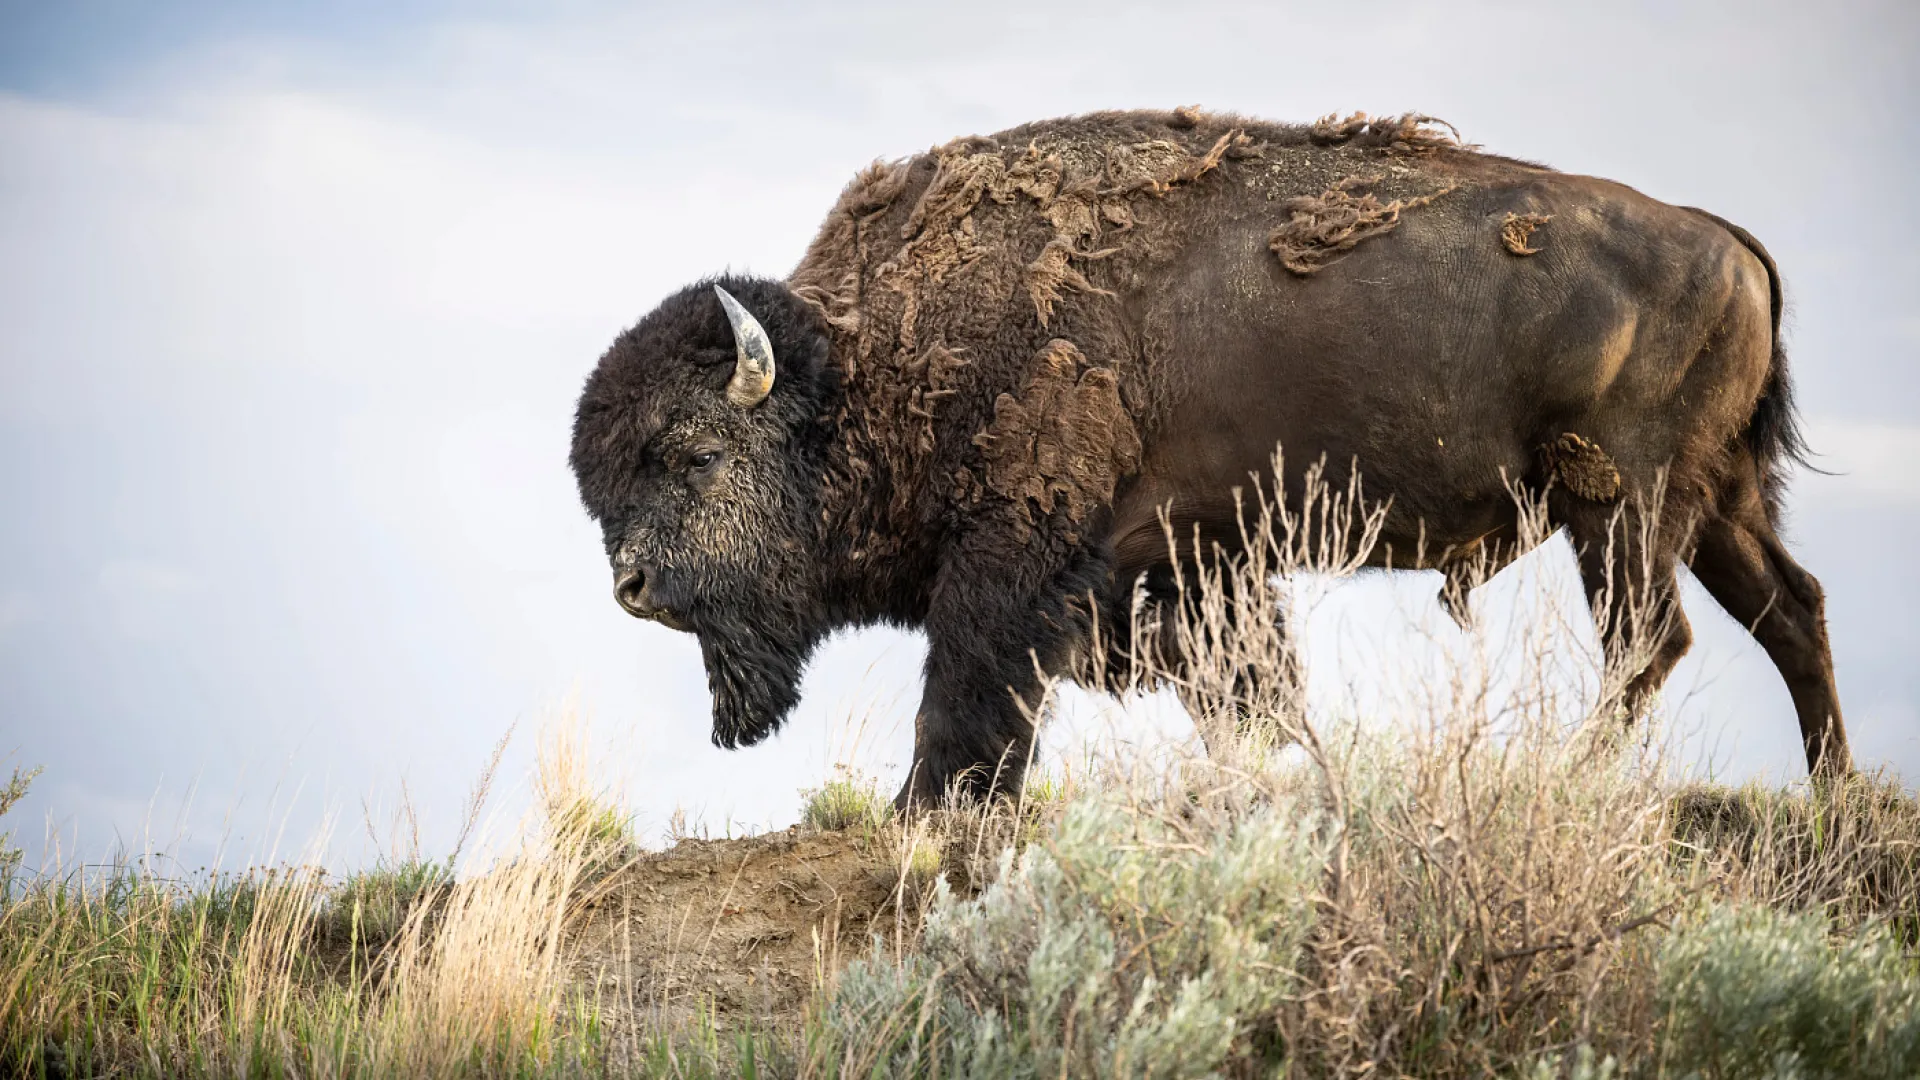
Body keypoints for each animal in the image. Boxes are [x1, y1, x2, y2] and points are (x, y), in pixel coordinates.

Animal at [569, 109, 1852, 807]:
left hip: (1620, 505)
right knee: (1791, 609)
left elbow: (965, 704)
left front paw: (921, 816)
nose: (629, 586)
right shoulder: (1193, 571)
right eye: (601, 487)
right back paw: (1836, 795)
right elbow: (1255, 698)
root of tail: (1725, 238)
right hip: (1717, 503)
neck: (871, 361)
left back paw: (1567, 780)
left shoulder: (1015, 567)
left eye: (691, 453)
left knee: (1653, 639)